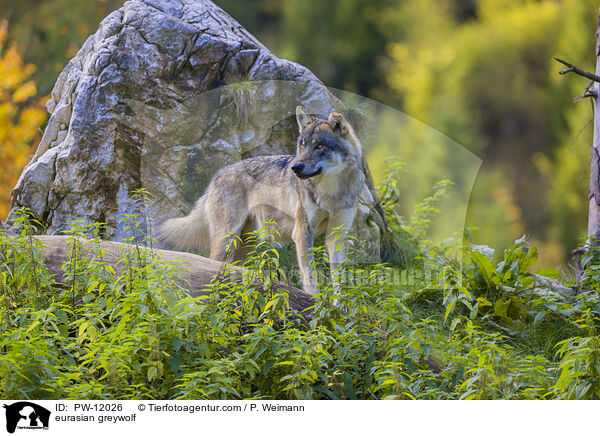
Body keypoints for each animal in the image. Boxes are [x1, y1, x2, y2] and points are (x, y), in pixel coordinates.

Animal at [158, 107, 370, 294]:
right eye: (302, 145)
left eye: (319, 146)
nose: (295, 167)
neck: (332, 192)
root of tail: (216, 175)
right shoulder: (302, 233)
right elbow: (311, 277)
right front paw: (315, 303)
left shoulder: (337, 234)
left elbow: (339, 280)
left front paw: (339, 308)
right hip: (226, 239)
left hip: (245, 246)